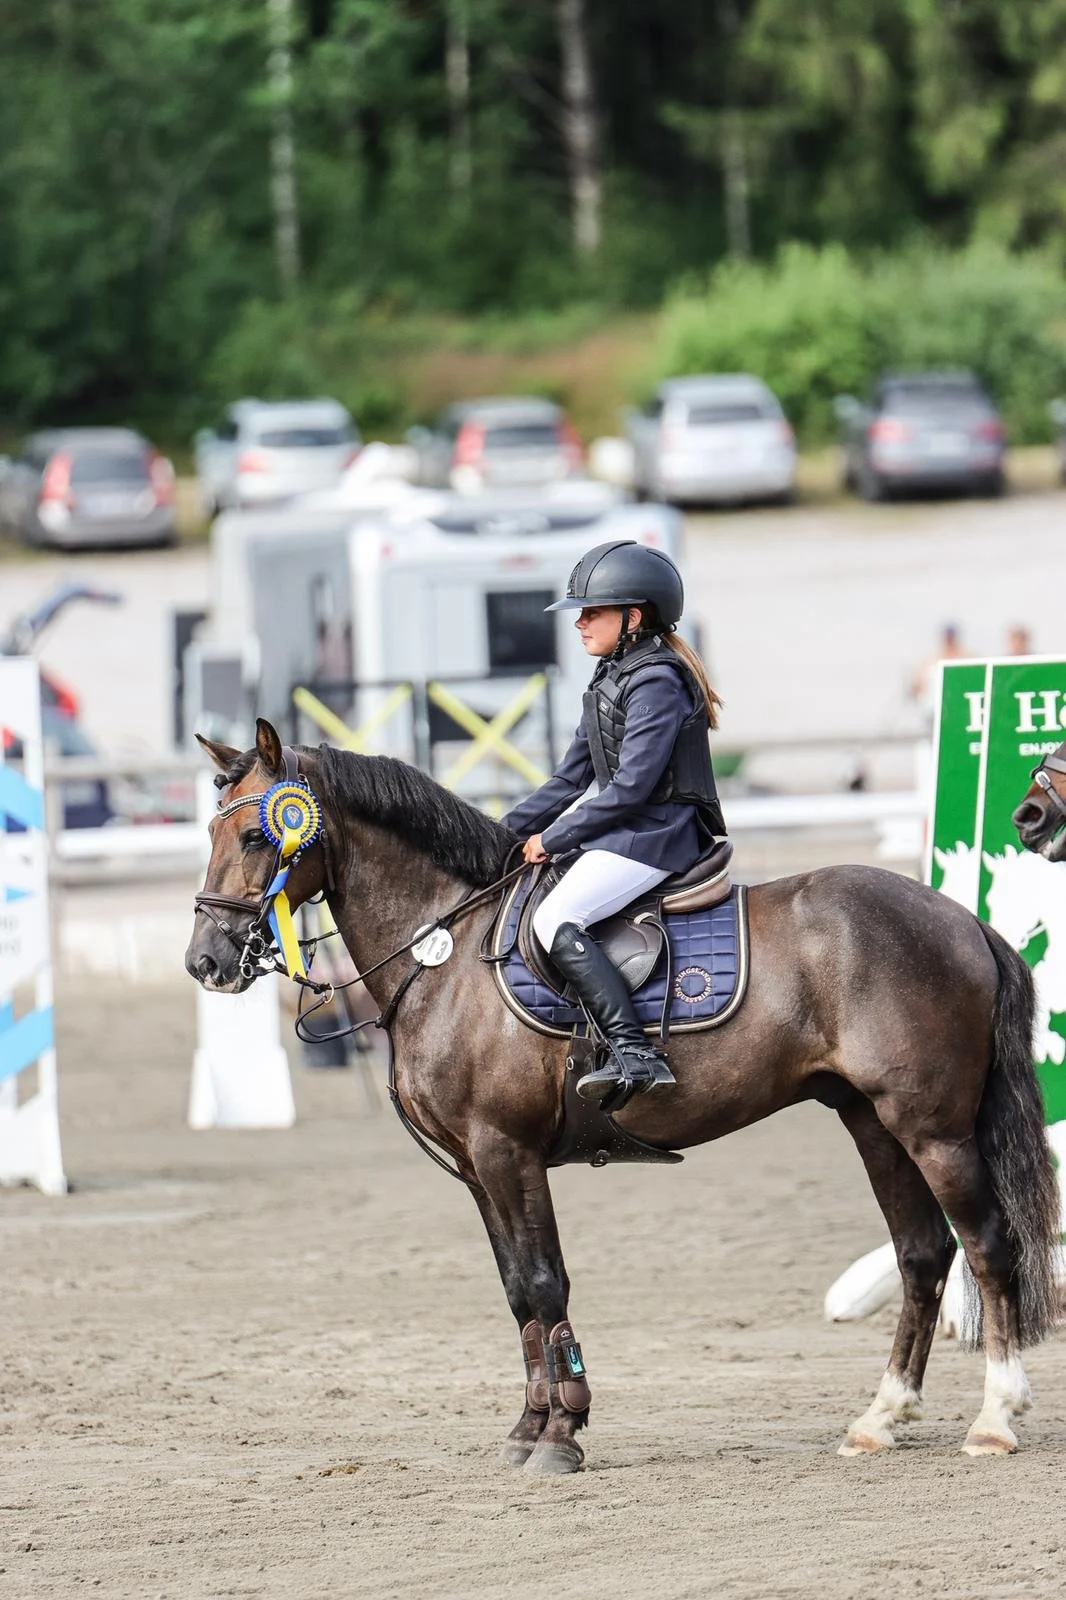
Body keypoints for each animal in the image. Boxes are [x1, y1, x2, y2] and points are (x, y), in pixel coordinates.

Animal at [185, 719, 1059, 1472]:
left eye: (259, 835)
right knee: (923, 1253)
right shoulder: (477, 1167)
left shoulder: (507, 1150)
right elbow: (518, 1292)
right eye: (210, 835)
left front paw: (561, 1433)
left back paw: (994, 1419)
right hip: (871, 1121)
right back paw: (880, 1418)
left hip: (933, 1128)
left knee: (987, 1245)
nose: (207, 961)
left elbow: (546, 1282)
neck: (446, 951)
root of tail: (962, 922)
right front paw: (528, 1426)